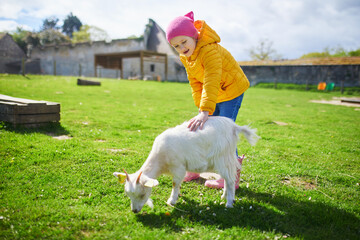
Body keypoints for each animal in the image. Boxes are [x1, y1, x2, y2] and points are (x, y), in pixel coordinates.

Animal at [112, 116, 258, 212]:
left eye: (142, 194)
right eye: (128, 194)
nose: (135, 211)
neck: (161, 161)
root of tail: (234, 127)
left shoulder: (178, 168)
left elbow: (175, 184)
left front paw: (172, 200)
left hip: (223, 158)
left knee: (231, 179)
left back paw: (229, 203)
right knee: (228, 179)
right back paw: (224, 196)